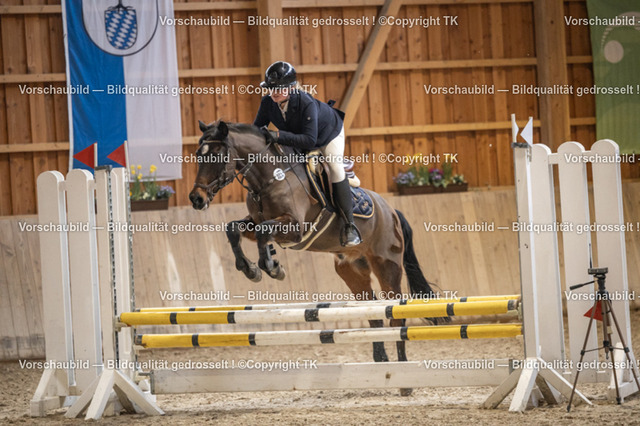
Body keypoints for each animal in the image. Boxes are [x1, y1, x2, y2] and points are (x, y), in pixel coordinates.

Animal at [189, 120, 444, 393]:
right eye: (198, 155)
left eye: (216, 156)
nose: (196, 199)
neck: (269, 179)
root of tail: (392, 211)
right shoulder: (257, 222)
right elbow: (235, 229)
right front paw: (252, 269)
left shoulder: (295, 228)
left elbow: (262, 232)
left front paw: (271, 267)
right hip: (352, 270)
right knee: (372, 313)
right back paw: (380, 365)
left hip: (388, 267)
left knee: (395, 315)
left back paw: (402, 377)